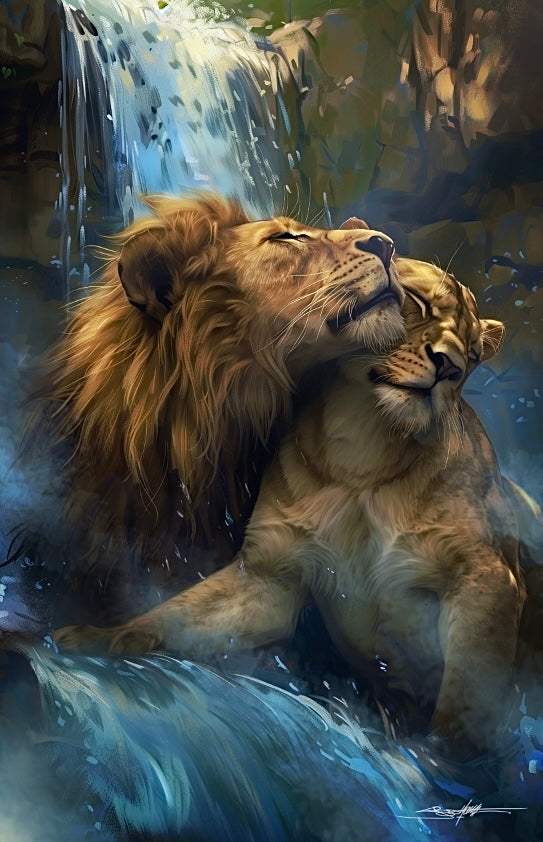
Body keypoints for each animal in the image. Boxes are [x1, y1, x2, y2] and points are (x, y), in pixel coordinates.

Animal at [55, 254, 527, 758]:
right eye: (417, 301)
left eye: (474, 354)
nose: (451, 368)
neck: (363, 453)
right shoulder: (270, 575)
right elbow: (177, 616)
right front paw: (95, 637)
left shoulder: (486, 577)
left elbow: (464, 700)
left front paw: (447, 762)